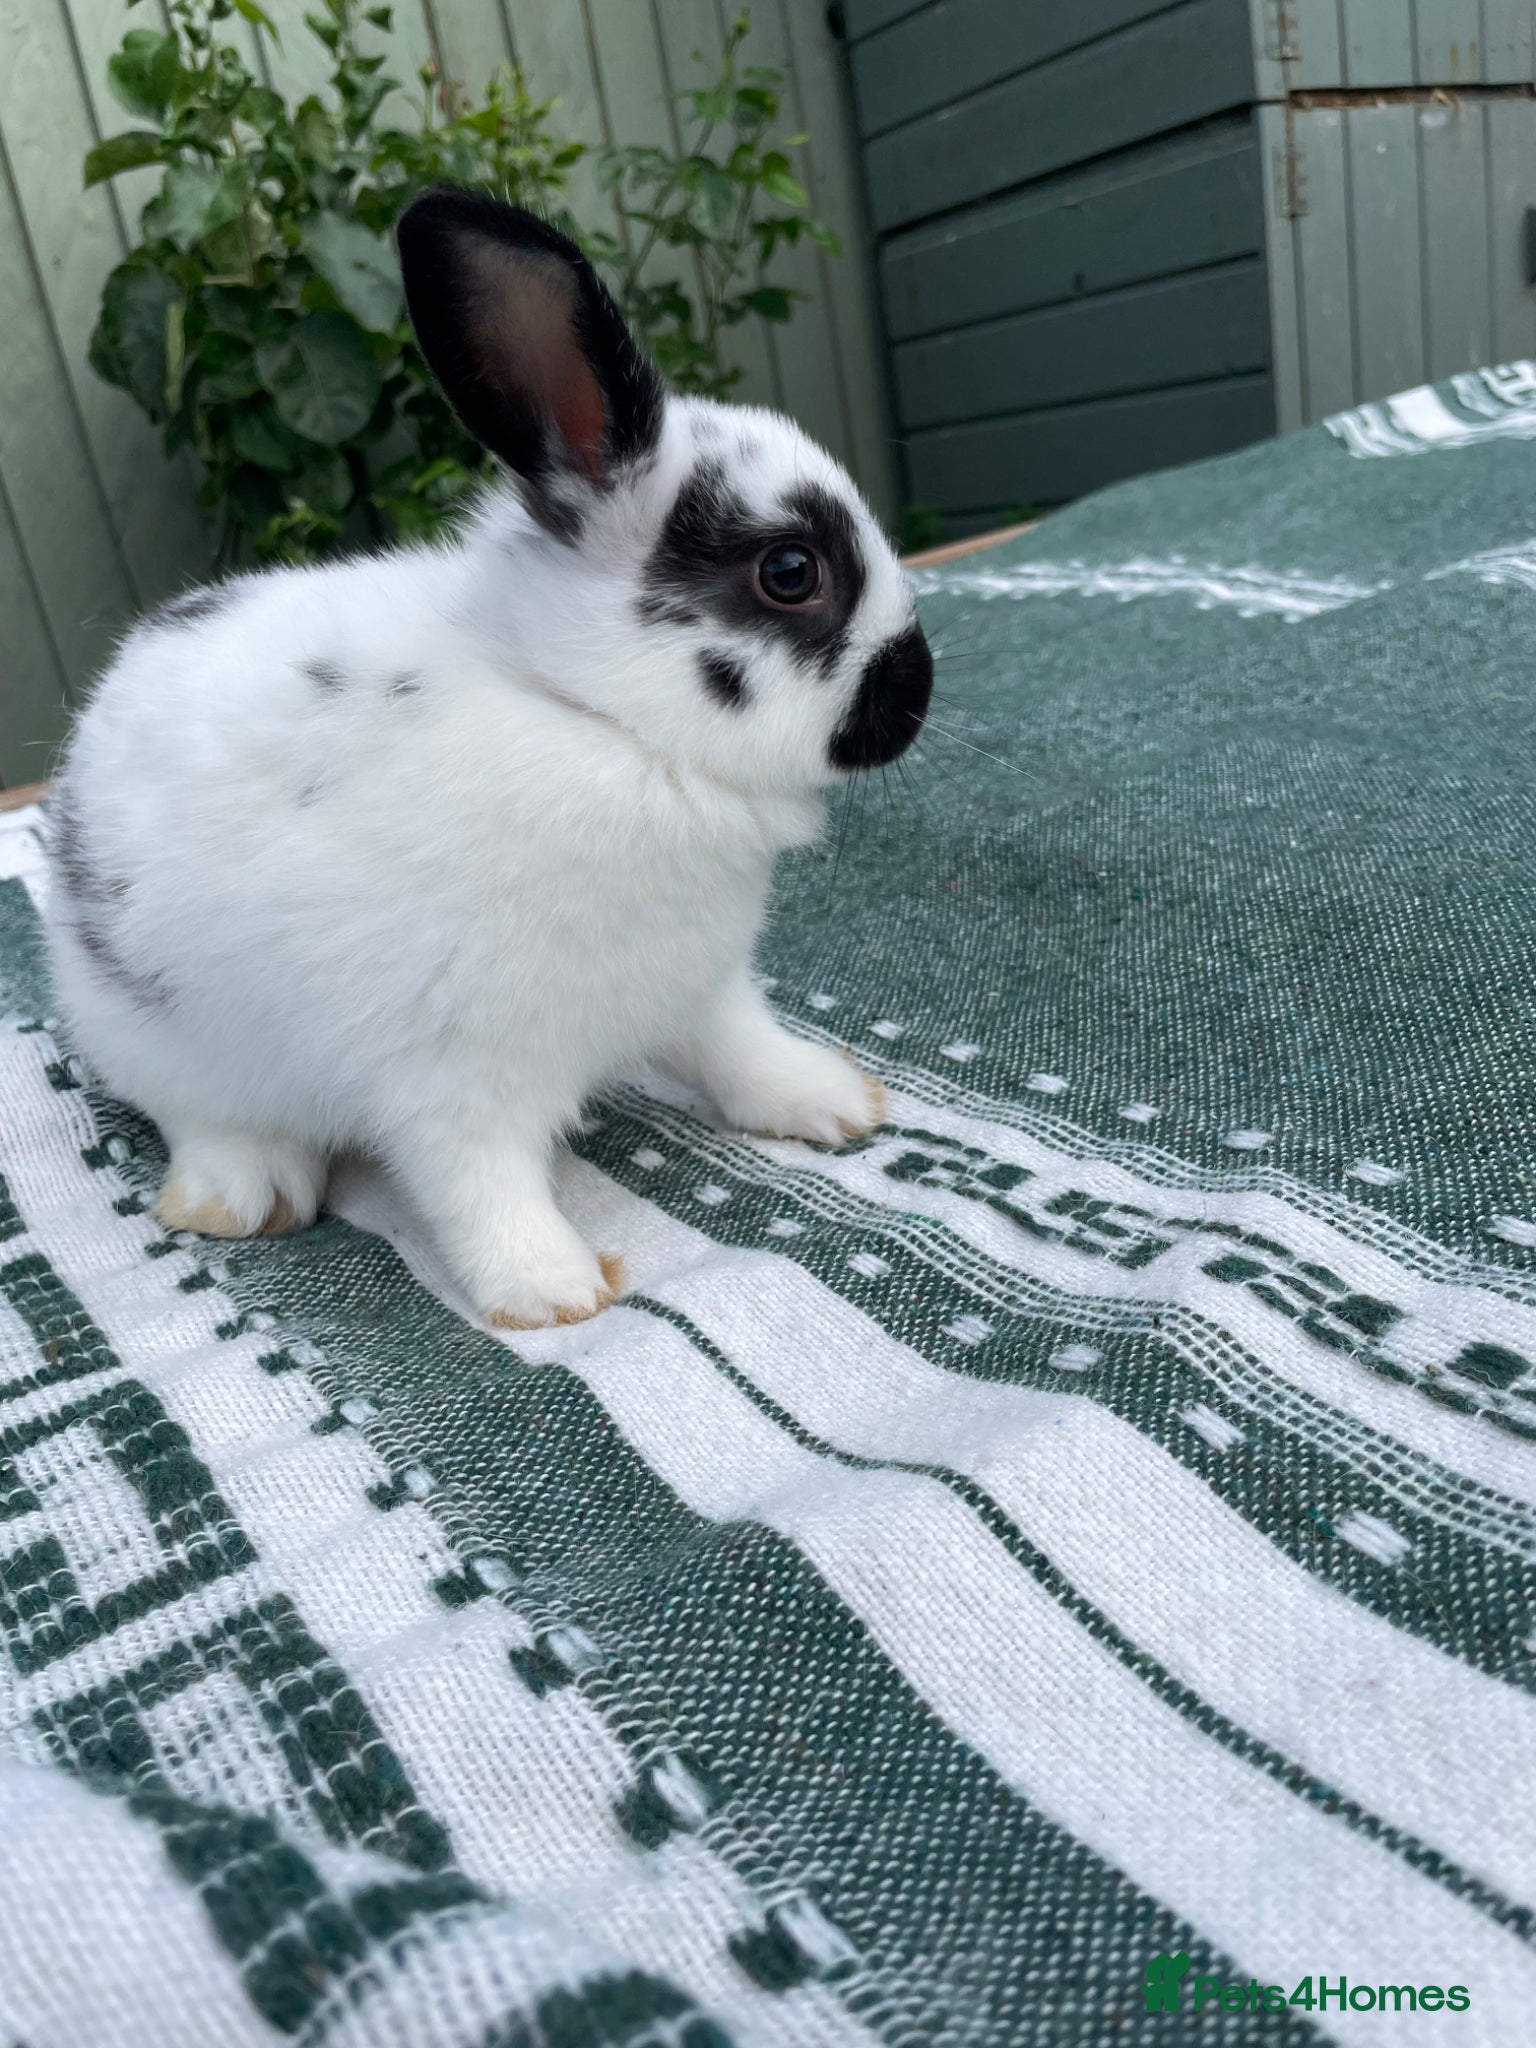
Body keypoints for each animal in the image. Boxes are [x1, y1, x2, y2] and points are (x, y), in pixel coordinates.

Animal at [45, 187, 933, 1330]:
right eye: (791, 572)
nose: (917, 692)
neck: (591, 715)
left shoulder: (701, 986)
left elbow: (739, 1052)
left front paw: (833, 1101)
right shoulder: (449, 1070)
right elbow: (481, 1179)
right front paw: (553, 1291)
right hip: (151, 1026)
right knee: (203, 1113)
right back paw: (240, 1199)